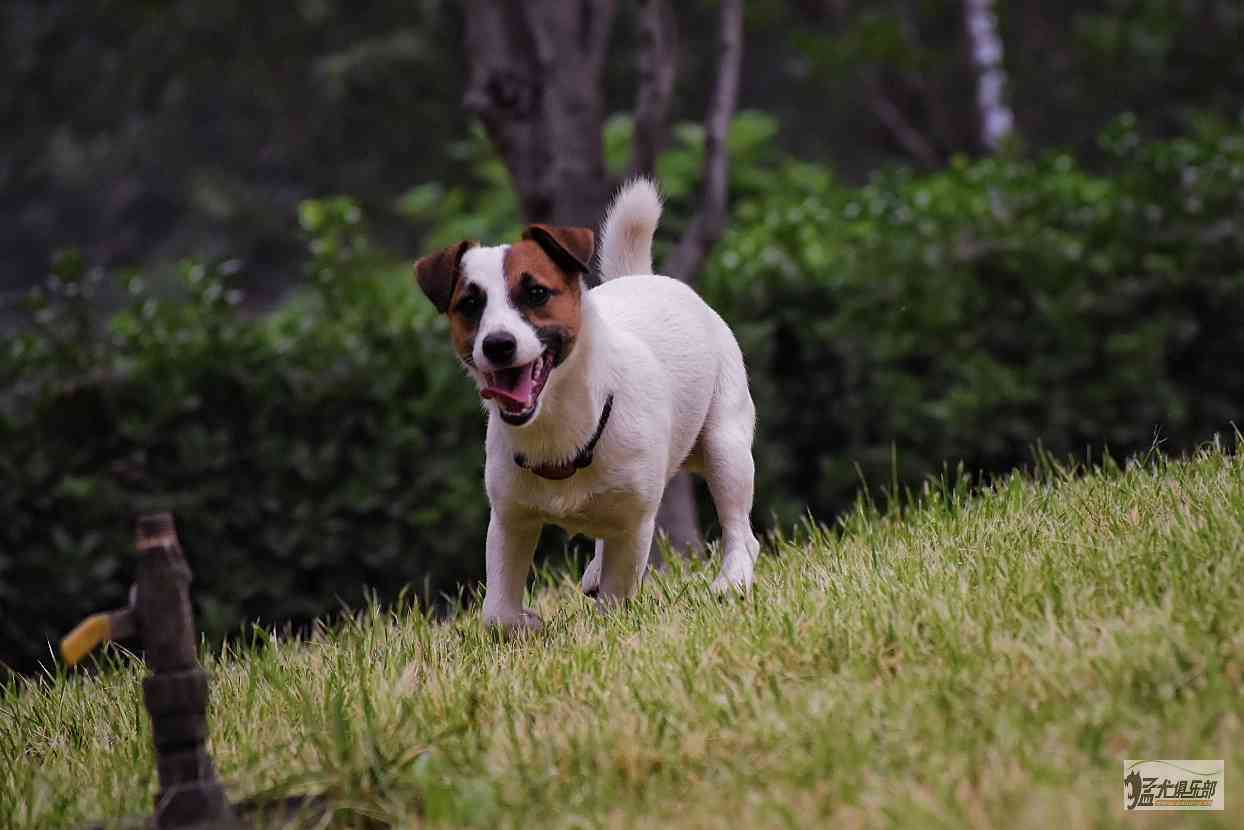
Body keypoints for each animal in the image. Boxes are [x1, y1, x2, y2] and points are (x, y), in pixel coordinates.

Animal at [415, 176, 756, 629]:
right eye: (469, 304)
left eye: (536, 293)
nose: (498, 344)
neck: (561, 426)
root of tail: (644, 276)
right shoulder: (509, 520)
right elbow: (496, 613)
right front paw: (525, 624)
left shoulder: (636, 522)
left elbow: (616, 594)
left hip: (725, 444)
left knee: (739, 526)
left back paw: (733, 578)